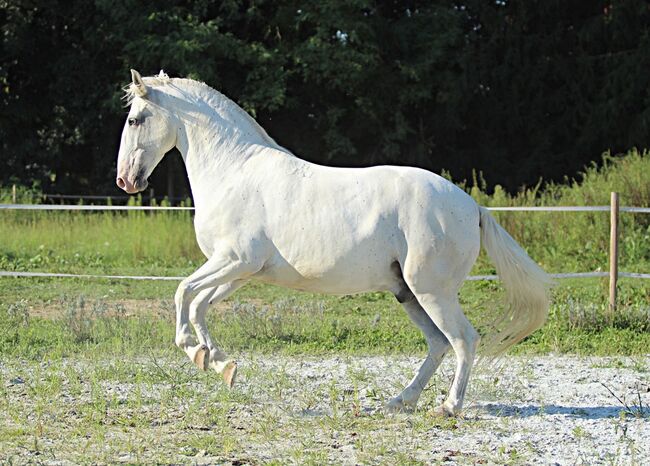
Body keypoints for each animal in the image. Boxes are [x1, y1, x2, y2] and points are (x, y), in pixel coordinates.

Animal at [115, 68, 548, 416]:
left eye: (135, 120)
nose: (126, 181)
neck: (233, 171)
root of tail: (472, 206)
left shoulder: (234, 261)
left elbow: (183, 293)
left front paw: (195, 351)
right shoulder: (239, 271)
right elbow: (199, 303)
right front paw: (218, 363)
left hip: (432, 291)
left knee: (463, 340)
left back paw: (448, 407)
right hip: (408, 293)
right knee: (438, 344)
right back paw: (399, 402)